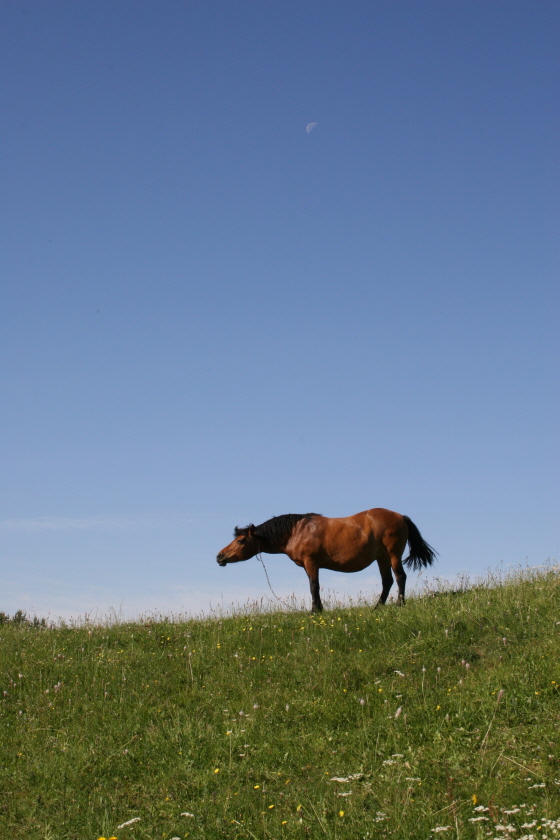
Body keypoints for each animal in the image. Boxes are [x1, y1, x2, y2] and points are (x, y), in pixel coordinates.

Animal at [215, 508, 438, 612]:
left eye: (241, 540)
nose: (219, 556)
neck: (297, 531)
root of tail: (400, 516)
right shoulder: (308, 566)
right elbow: (313, 586)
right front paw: (318, 609)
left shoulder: (311, 563)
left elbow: (314, 586)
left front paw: (315, 611)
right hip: (381, 557)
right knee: (387, 581)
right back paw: (377, 607)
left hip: (392, 554)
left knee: (400, 577)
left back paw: (400, 604)